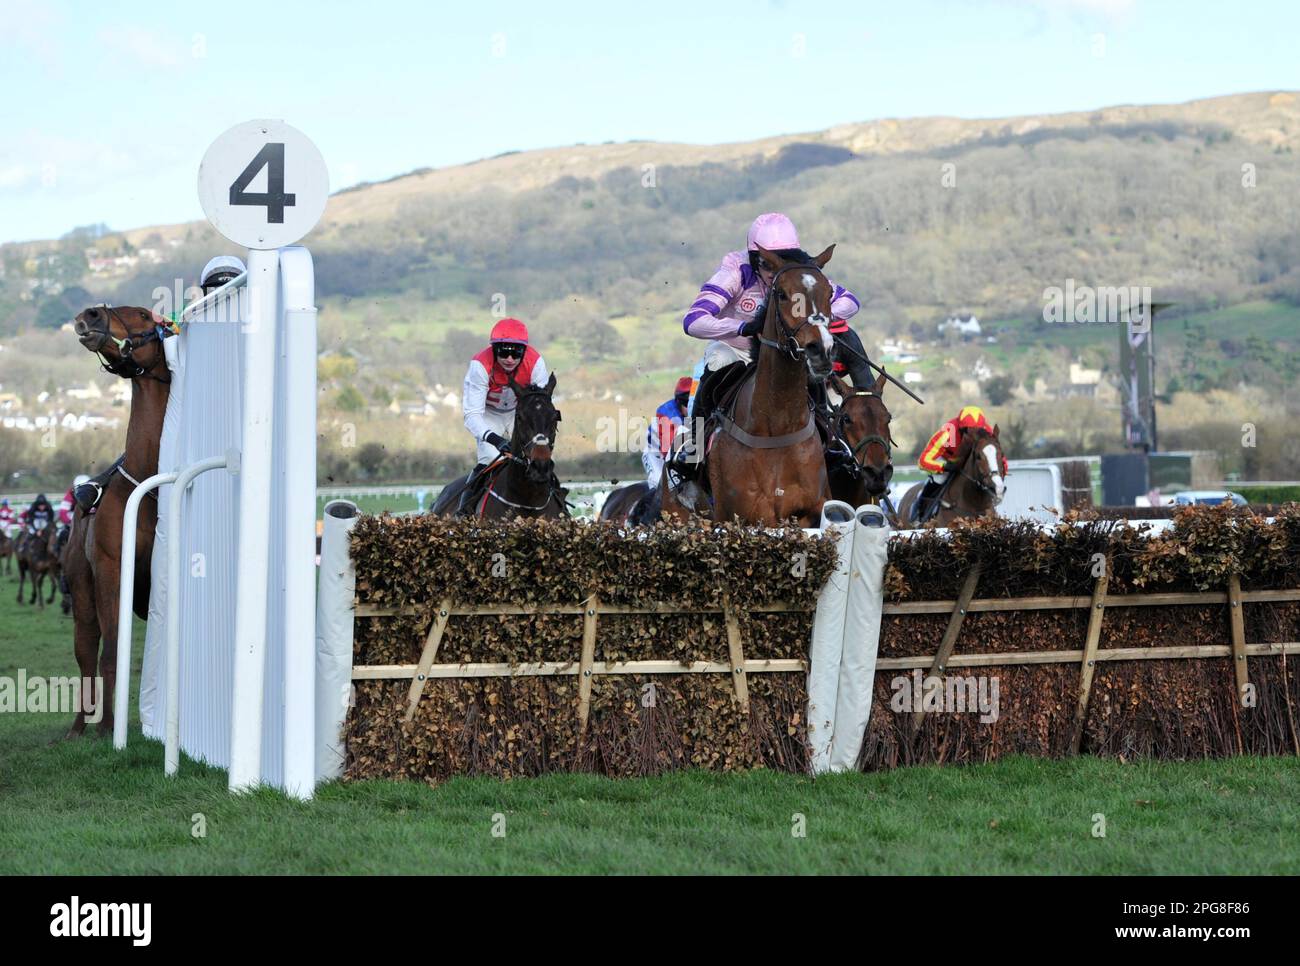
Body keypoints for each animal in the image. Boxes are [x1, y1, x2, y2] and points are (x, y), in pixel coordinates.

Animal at [702, 241, 832, 527]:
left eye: (829, 293)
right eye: (782, 294)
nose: (821, 350)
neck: (777, 426)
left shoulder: (811, 509)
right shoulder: (753, 515)